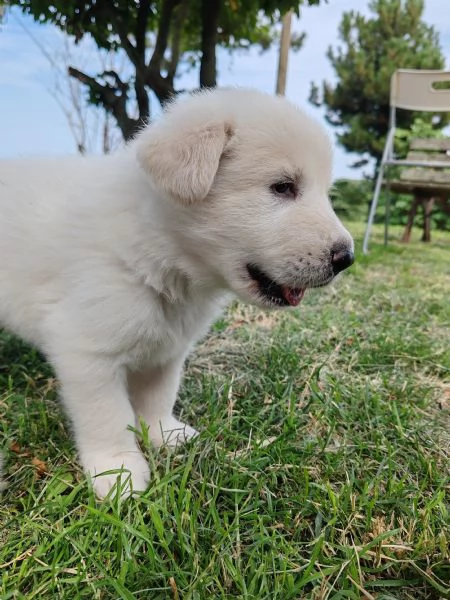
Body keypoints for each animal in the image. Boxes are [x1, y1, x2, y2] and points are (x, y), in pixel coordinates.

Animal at [0, 88, 354, 496]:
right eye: (282, 186)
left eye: (326, 193)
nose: (347, 258)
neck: (155, 254)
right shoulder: (87, 351)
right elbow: (107, 414)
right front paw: (118, 472)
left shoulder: (168, 349)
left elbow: (158, 395)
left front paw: (163, 435)